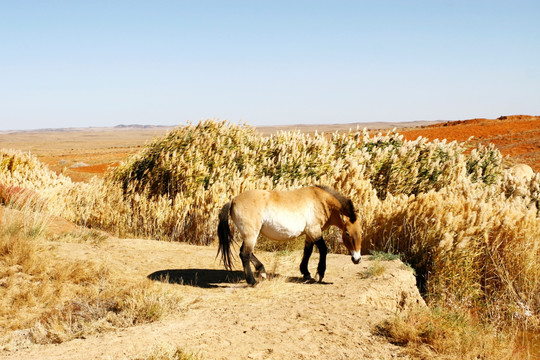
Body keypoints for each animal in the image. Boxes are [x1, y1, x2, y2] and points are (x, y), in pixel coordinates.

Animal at [216, 187, 362, 286]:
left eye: (361, 232)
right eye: (347, 233)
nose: (357, 259)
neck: (321, 201)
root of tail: (233, 201)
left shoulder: (309, 234)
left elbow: (307, 252)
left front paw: (306, 273)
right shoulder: (314, 231)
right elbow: (323, 250)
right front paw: (319, 274)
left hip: (250, 235)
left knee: (247, 252)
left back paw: (262, 271)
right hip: (251, 234)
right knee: (244, 254)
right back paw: (252, 281)